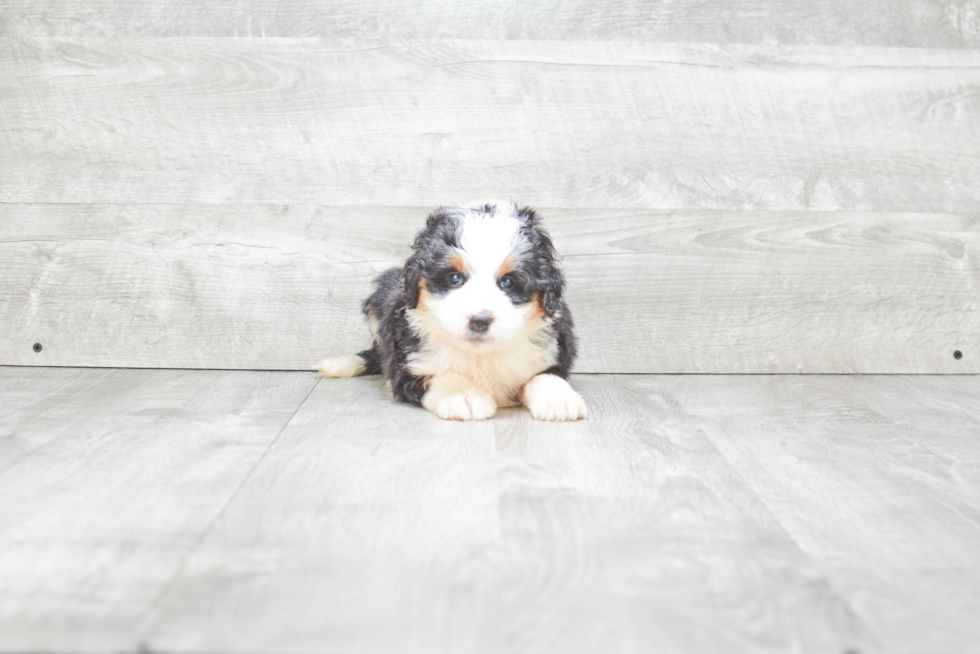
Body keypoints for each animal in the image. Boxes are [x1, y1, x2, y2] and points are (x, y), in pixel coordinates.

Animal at [318, 200, 584, 422]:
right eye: (454, 278)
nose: (479, 321)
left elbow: (544, 375)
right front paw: (463, 396)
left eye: (508, 282)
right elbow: (440, 374)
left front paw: (559, 400)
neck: (480, 356)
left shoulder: (555, 349)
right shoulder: (406, 366)